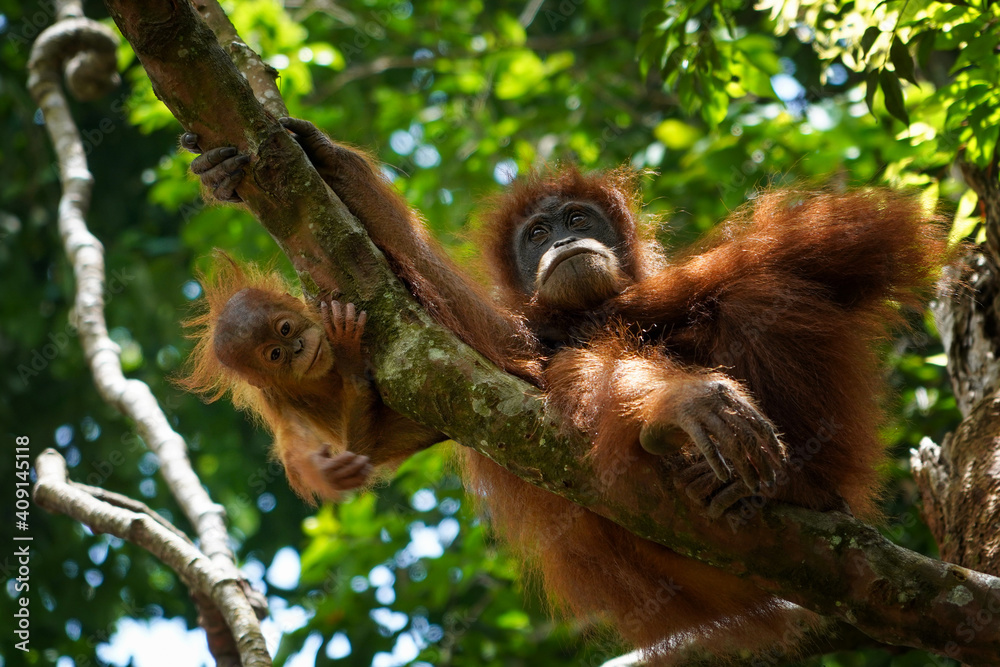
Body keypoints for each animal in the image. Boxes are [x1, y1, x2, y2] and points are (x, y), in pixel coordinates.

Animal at [178, 253, 443, 503]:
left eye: (285, 328)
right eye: (276, 354)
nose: (298, 347)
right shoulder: (278, 402)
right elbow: (366, 450)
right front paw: (348, 356)